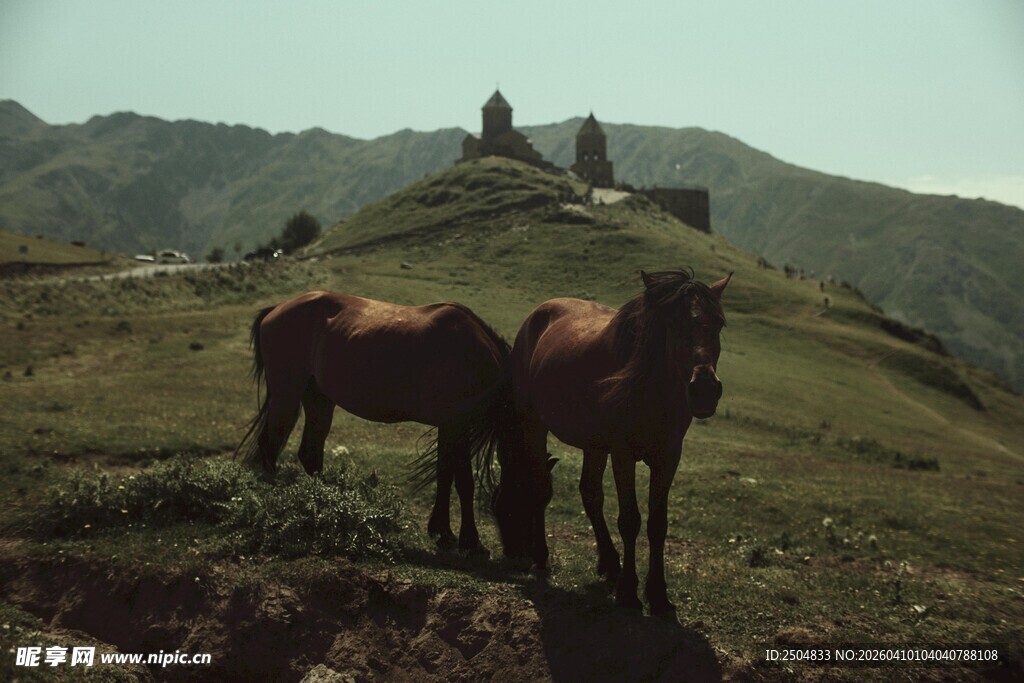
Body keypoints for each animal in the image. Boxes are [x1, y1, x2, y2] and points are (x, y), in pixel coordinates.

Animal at [236, 290, 512, 553]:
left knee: (309, 454)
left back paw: (325, 505)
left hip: (319, 400)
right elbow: (463, 482)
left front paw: (442, 532)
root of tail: (276, 309)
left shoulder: (448, 426)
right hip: (287, 396)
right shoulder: (457, 424)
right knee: (269, 445)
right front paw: (471, 542)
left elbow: (445, 475)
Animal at [492, 269, 731, 613]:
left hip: (593, 446)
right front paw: (630, 593)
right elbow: (630, 520)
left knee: (590, 495)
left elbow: (658, 524)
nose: (704, 390)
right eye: (673, 323)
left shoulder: (668, 457)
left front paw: (659, 596)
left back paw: (609, 565)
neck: (650, 390)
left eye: (718, 324)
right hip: (535, 426)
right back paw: (542, 557)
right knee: (541, 487)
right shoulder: (623, 454)